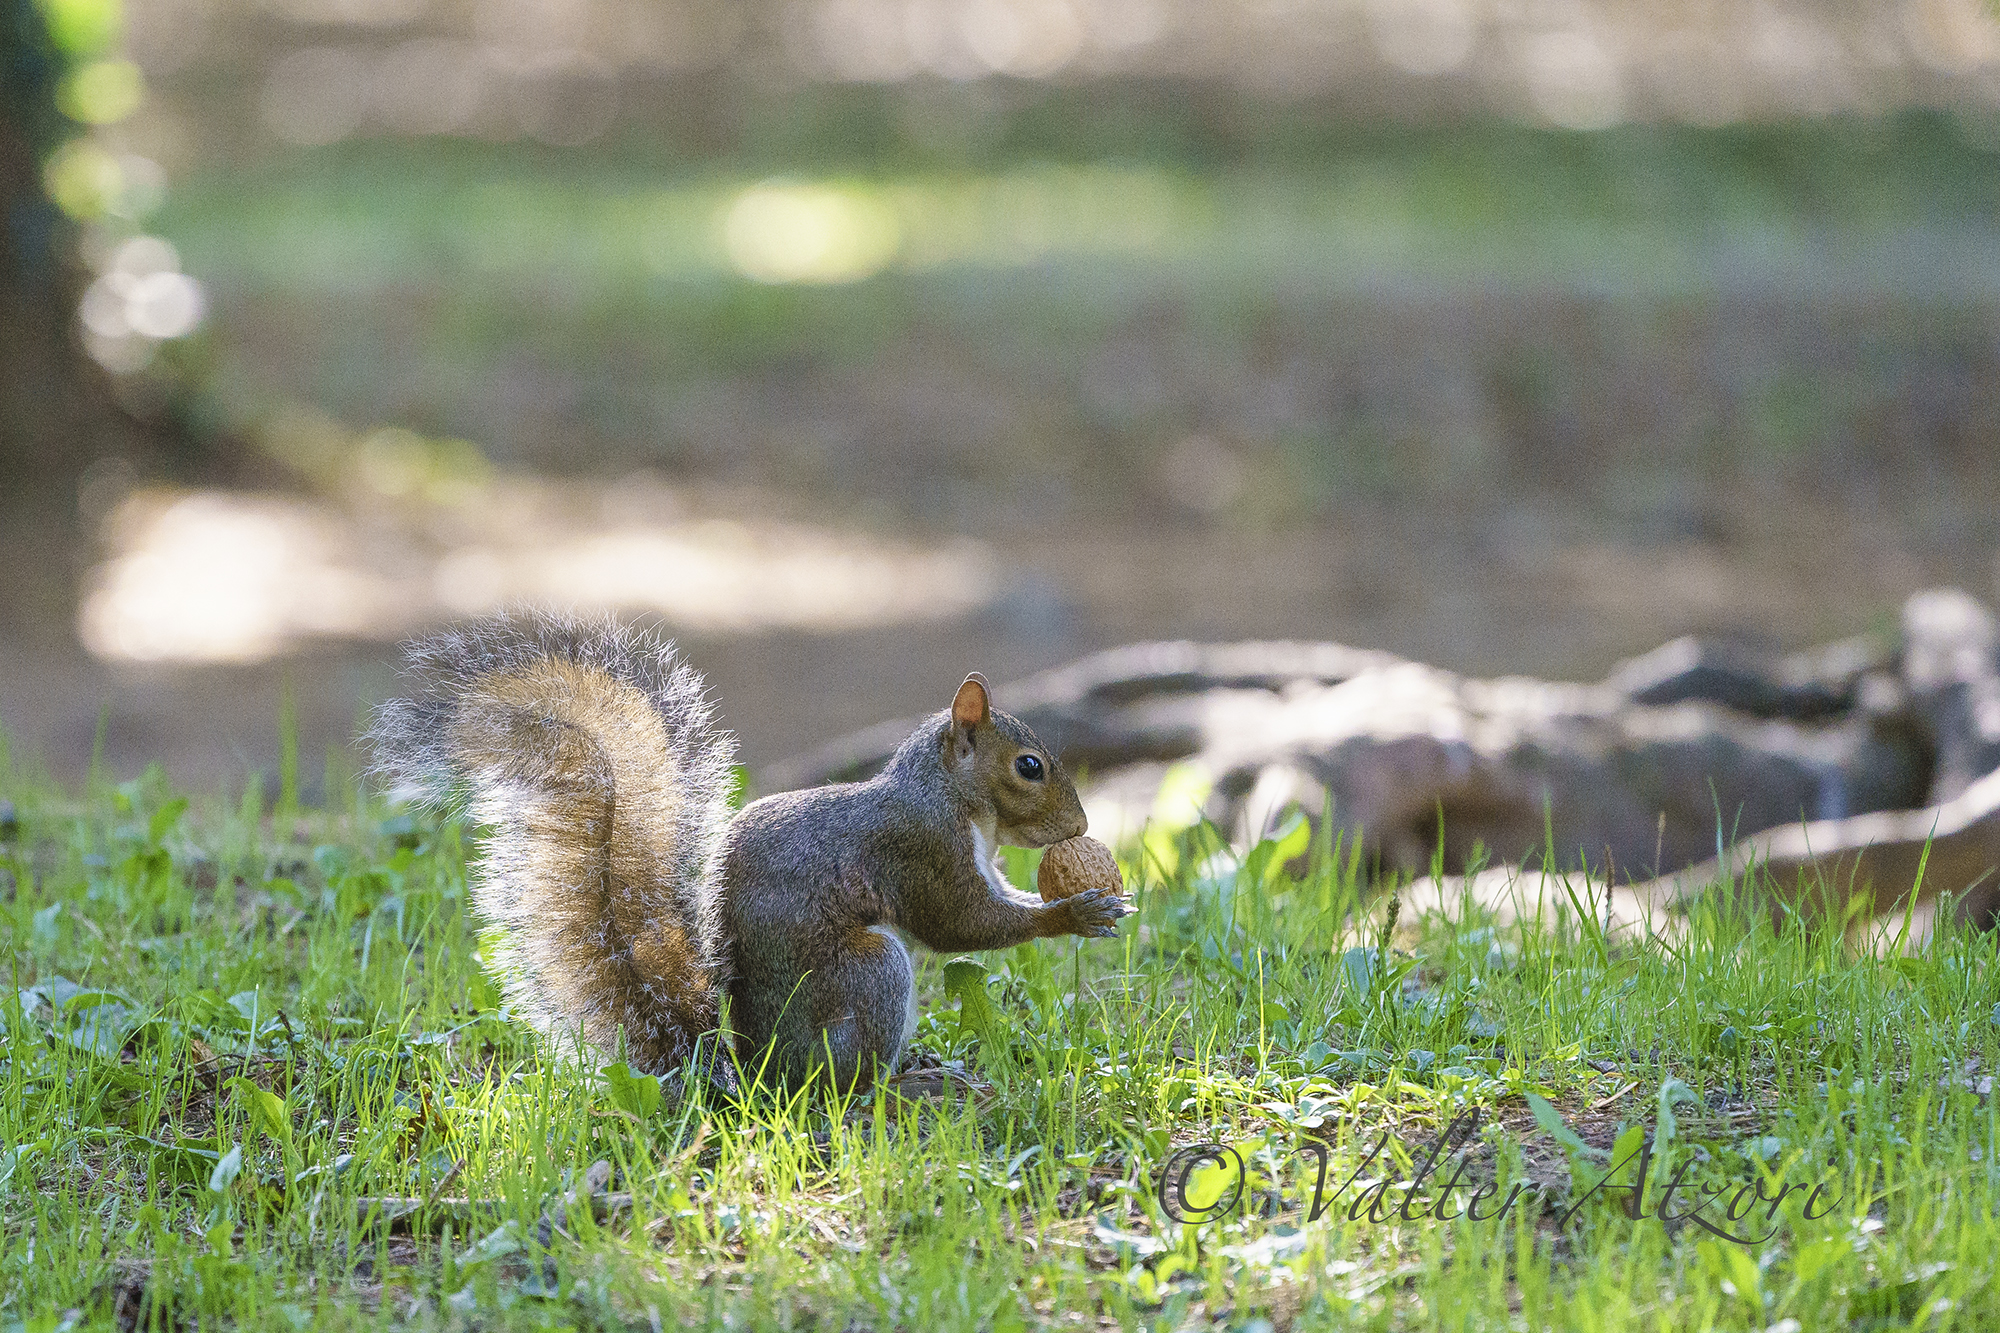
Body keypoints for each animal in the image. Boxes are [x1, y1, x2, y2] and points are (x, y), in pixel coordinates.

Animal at [368, 612, 1132, 1091]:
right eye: (1029, 767)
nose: (1081, 822)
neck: (945, 794)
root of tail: (755, 1070)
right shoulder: (923, 849)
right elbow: (961, 924)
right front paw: (1076, 912)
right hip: (868, 975)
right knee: (841, 1085)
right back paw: (906, 1084)